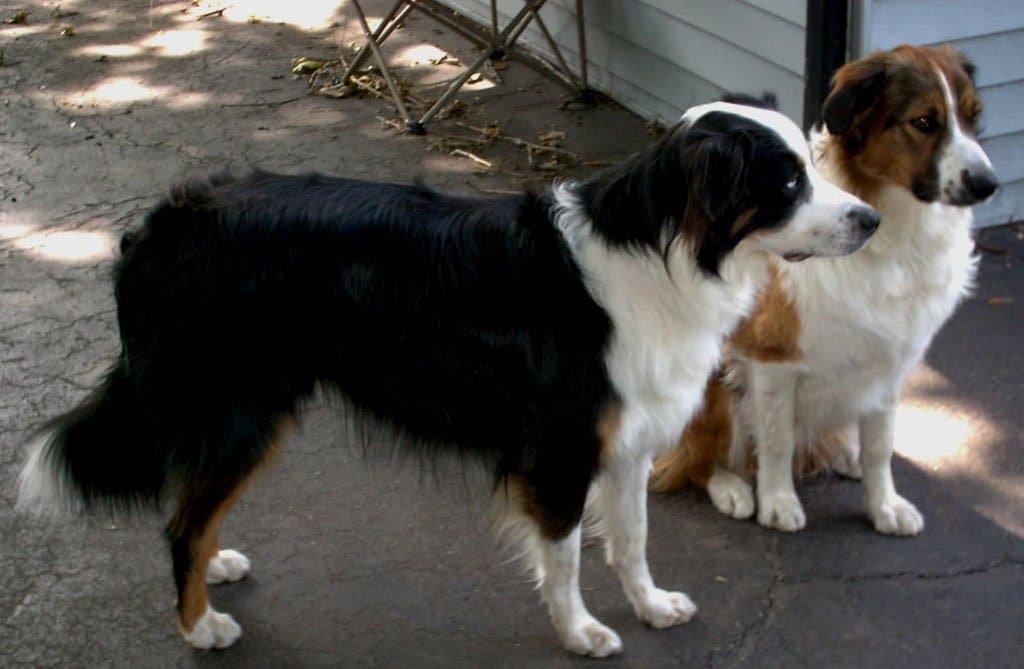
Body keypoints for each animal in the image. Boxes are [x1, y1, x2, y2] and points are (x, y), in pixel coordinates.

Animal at [16, 101, 876, 655]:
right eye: (787, 183)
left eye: (813, 165)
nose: (869, 220)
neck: (665, 251)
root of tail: (163, 220)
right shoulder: (558, 450)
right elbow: (566, 554)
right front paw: (580, 632)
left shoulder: (626, 442)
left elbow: (630, 539)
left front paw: (650, 605)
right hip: (241, 410)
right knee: (180, 520)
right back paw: (199, 625)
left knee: (191, 502)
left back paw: (218, 566)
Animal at [651, 44, 995, 536]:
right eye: (924, 122)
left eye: (973, 116)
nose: (988, 184)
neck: (899, 237)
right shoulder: (772, 360)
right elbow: (776, 443)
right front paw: (777, 502)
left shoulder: (889, 363)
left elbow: (880, 446)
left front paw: (883, 505)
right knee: (693, 459)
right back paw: (731, 486)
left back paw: (841, 455)